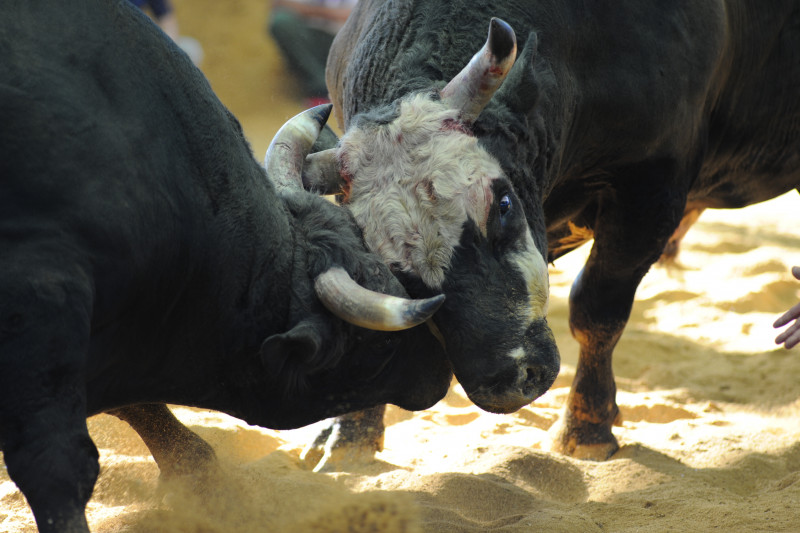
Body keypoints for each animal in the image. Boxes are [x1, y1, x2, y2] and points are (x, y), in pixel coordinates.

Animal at [312, 0, 800, 462]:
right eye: (393, 266)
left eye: (504, 205)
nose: (508, 381)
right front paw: (350, 437)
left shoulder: (650, 188)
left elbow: (596, 310)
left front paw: (585, 429)